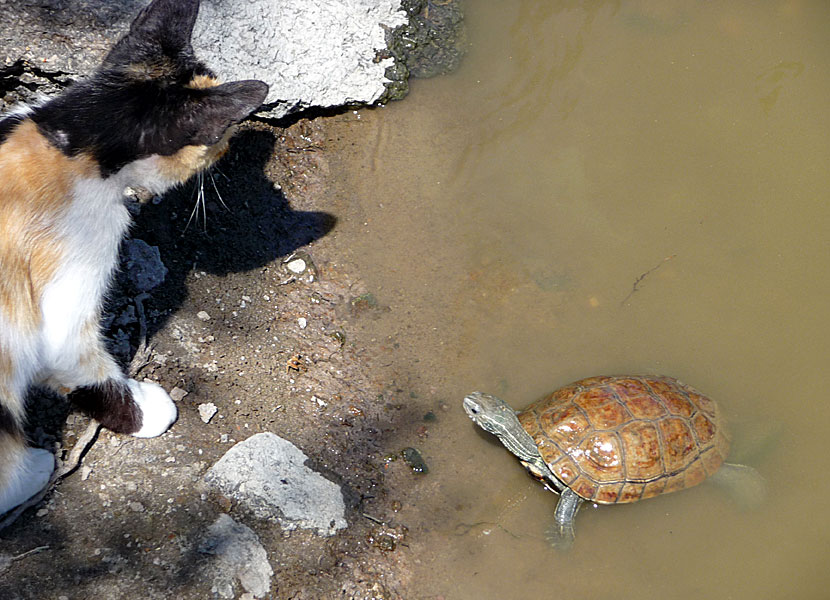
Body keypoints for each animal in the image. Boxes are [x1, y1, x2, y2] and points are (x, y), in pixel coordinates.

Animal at [0, 0, 268, 516]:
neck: (69, 139)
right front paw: (146, 411)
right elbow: (79, 362)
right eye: (220, 131)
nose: (229, 145)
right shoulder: (66, 284)